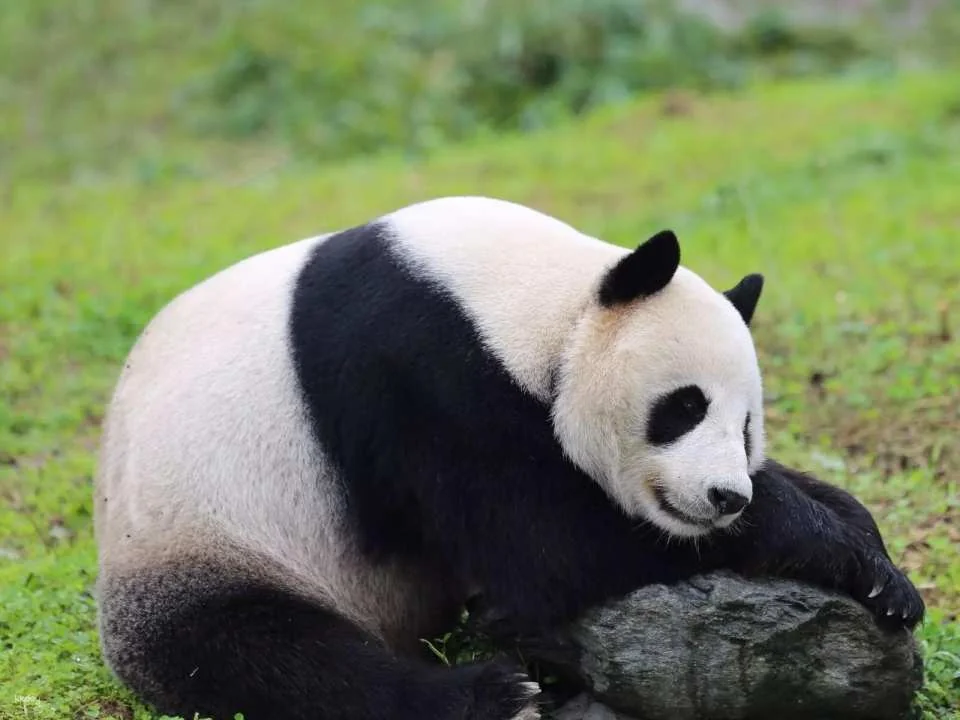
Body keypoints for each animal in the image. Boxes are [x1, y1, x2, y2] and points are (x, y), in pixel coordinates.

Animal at [93, 195, 924, 720]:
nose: (726, 498)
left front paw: (879, 570)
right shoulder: (418, 371)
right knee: (265, 655)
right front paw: (822, 543)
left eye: (747, 426)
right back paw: (495, 695)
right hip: (208, 536)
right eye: (684, 407)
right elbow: (541, 537)